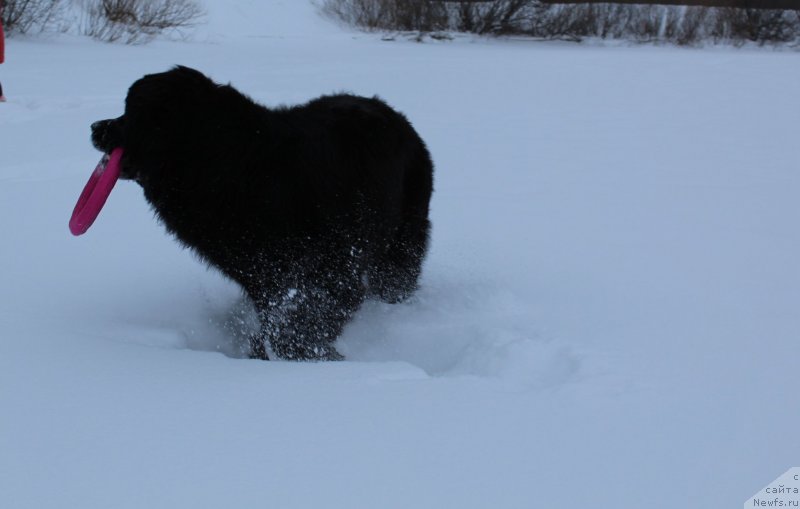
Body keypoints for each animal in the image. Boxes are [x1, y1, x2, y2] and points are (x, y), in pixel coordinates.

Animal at [90, 66, 434, 362]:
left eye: (131, 112)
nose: (94, 127)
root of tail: (397, 117)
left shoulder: (332, 266)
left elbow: (310, 315)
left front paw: (306, 352)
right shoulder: (264, 274)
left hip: (405, 230)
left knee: (396, 274)